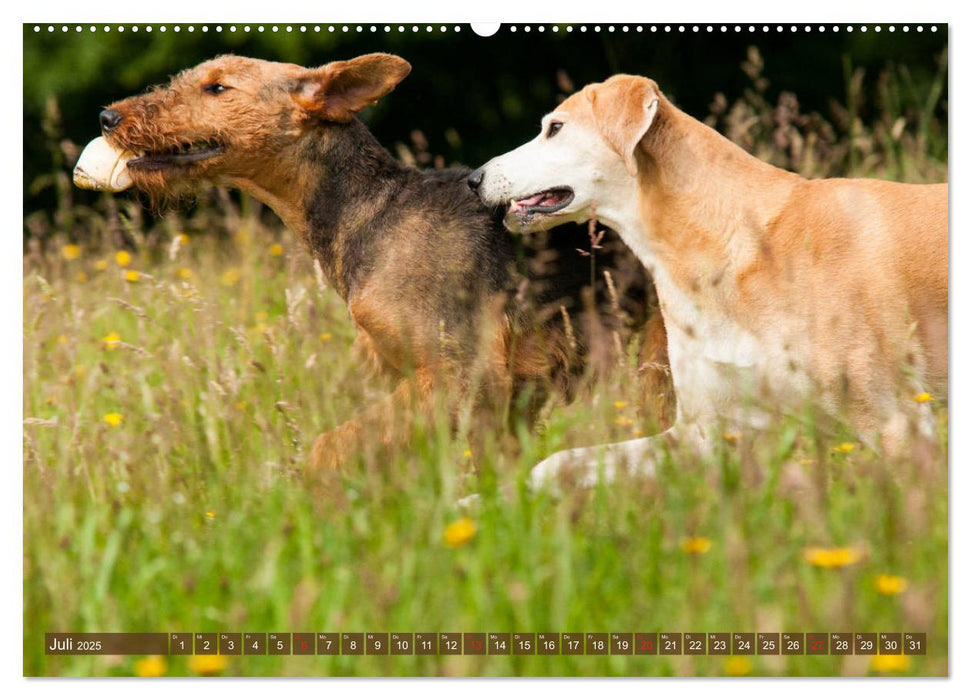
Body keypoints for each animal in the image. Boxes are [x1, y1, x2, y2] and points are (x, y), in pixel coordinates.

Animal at [74, 53, 668, 482]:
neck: (369, 210)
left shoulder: (462, 374)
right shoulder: (494, 392)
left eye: (217, 88)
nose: (107, 117)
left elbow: (328, 446)